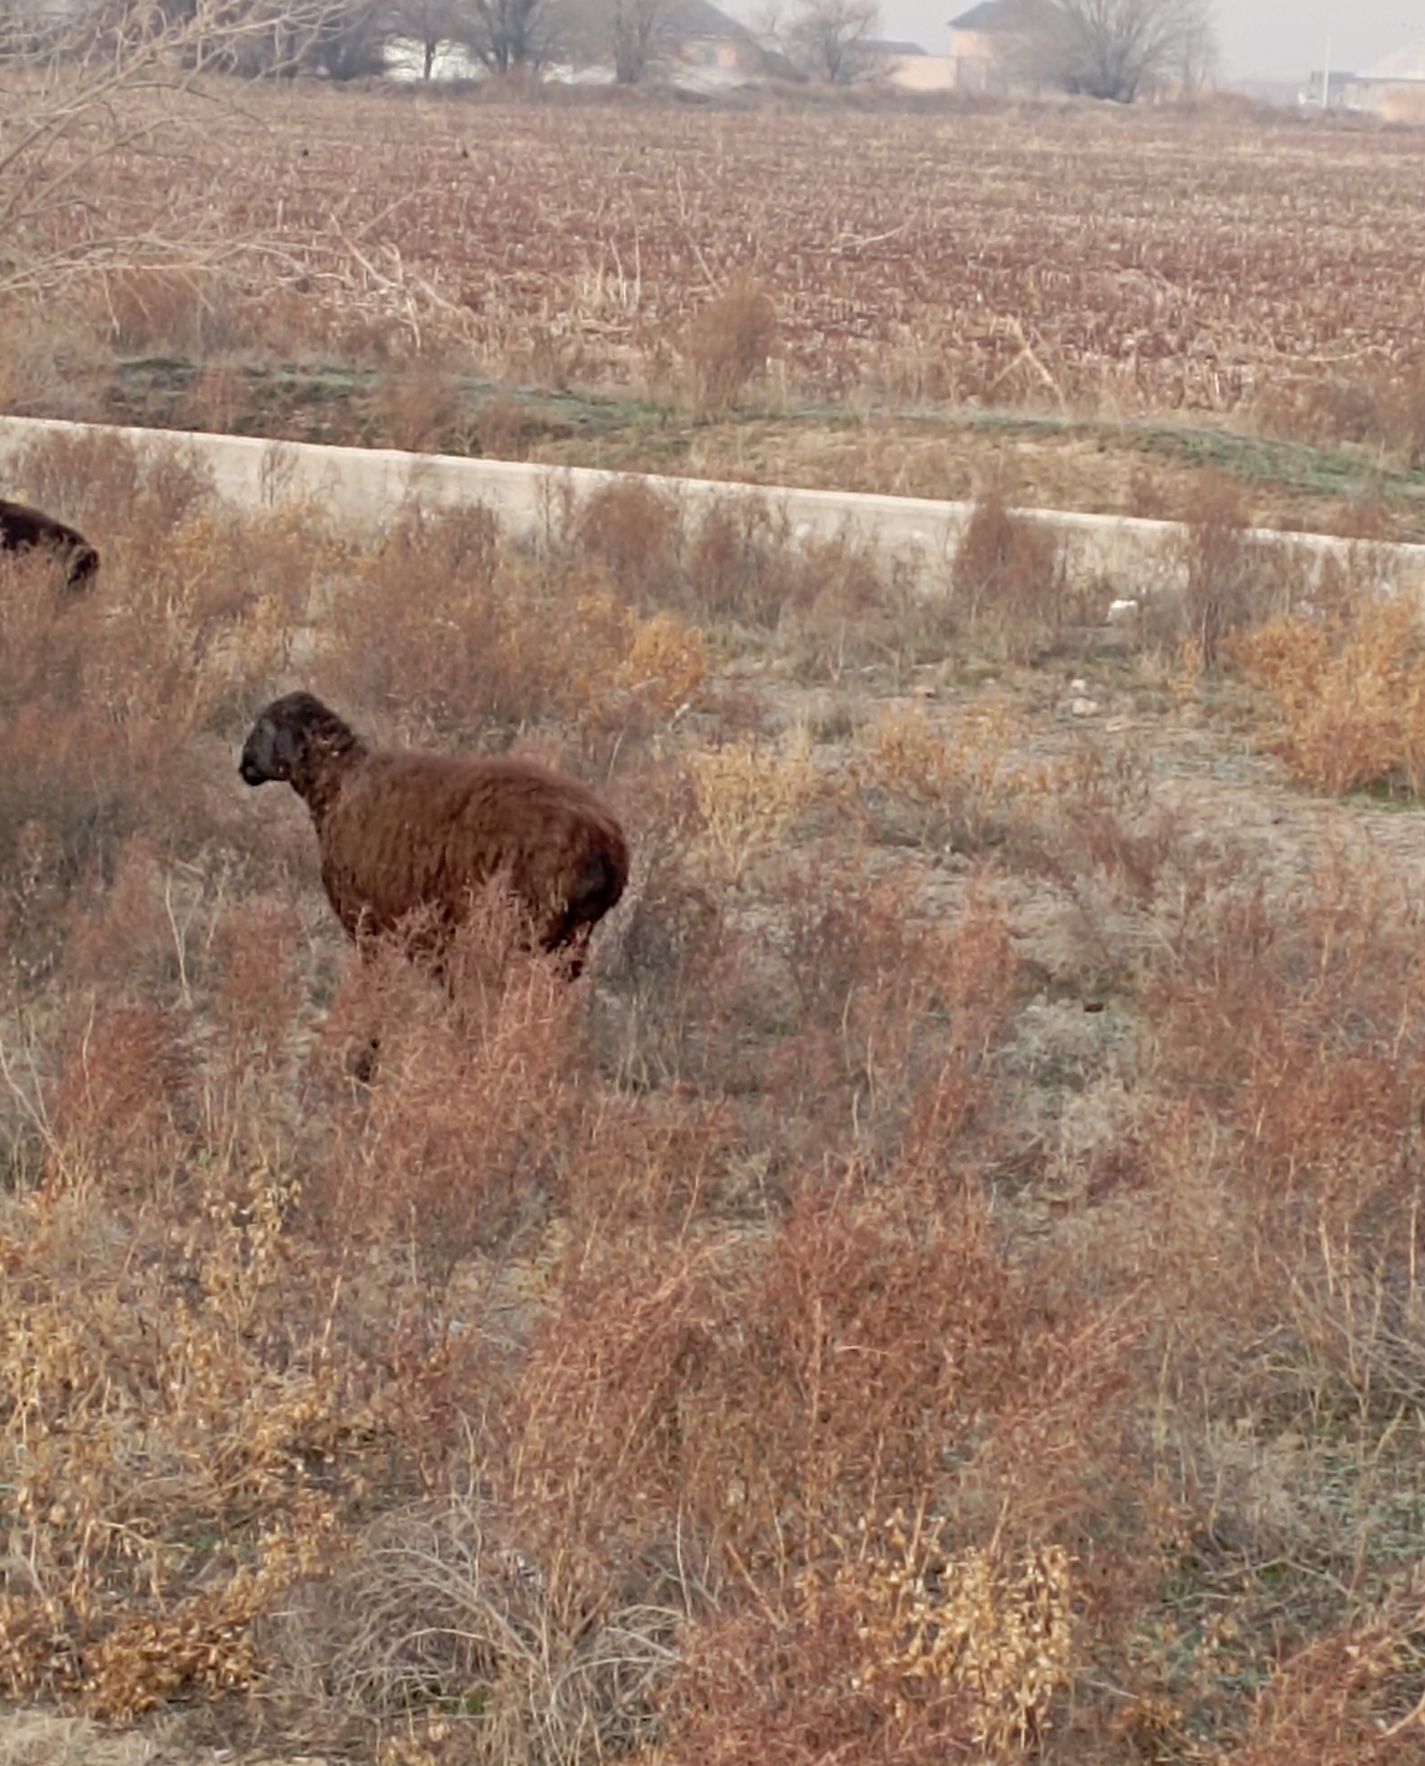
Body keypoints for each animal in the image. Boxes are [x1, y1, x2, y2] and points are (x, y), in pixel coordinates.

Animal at [240, 688, 628, 981]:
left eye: (263, 727)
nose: (243, 766)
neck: (339, 783)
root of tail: (606, 845)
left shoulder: (366, 925)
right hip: (572, 940)